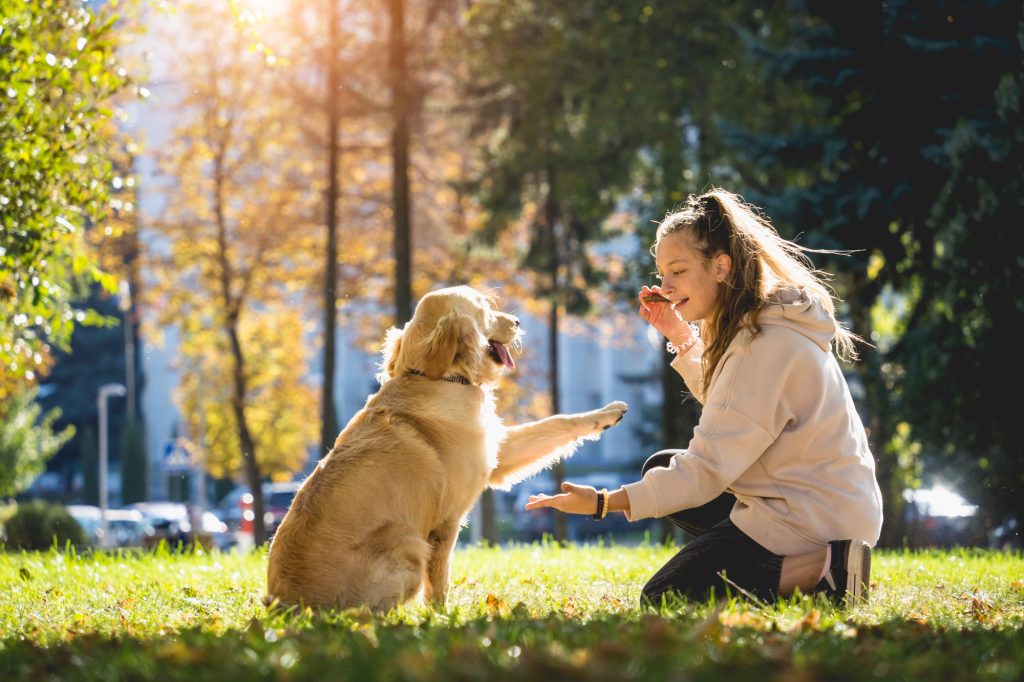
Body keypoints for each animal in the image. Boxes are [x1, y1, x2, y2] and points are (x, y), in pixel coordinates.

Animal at [264, 284, 626, 606]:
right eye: (484, 307)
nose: (518, 321)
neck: (438, 377)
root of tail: (284, 603)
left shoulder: (492, 452)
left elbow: (556, 421)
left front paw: (607, 413)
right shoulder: (446, 523)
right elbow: (440, 584)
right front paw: (442, 619)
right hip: (406, 540)